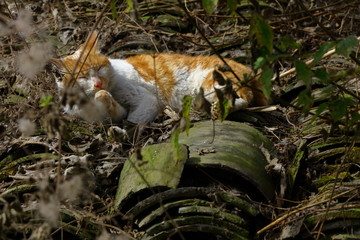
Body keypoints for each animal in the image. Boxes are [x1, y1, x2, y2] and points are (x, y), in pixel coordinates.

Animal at [52, 31, 268, 125]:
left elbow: (135, 120)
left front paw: (127, 132)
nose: (98, 83)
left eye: (97, 69)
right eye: (83, 76)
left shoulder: (148, 100)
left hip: (211, 83)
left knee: (244, 98)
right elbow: (113, 111)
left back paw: (221, 109)